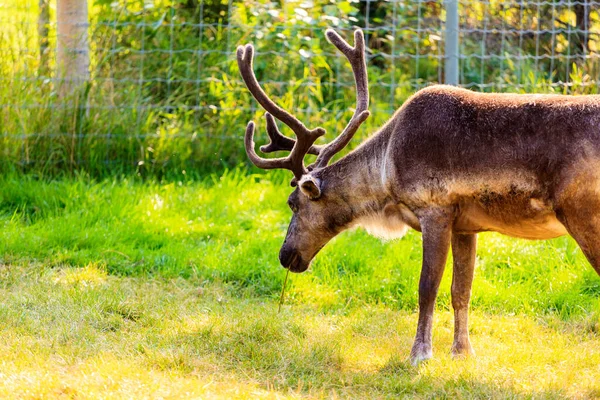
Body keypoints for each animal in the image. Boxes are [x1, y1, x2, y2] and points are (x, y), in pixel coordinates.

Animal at [237, 28, 600, 366]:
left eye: (292, 203)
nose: (285, 255)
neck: (386, 170)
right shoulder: (465, 225)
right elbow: (461, 290)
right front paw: (462, 352)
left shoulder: (434, 211)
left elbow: (427, 288)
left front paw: (420, 353)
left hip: (583, 216)